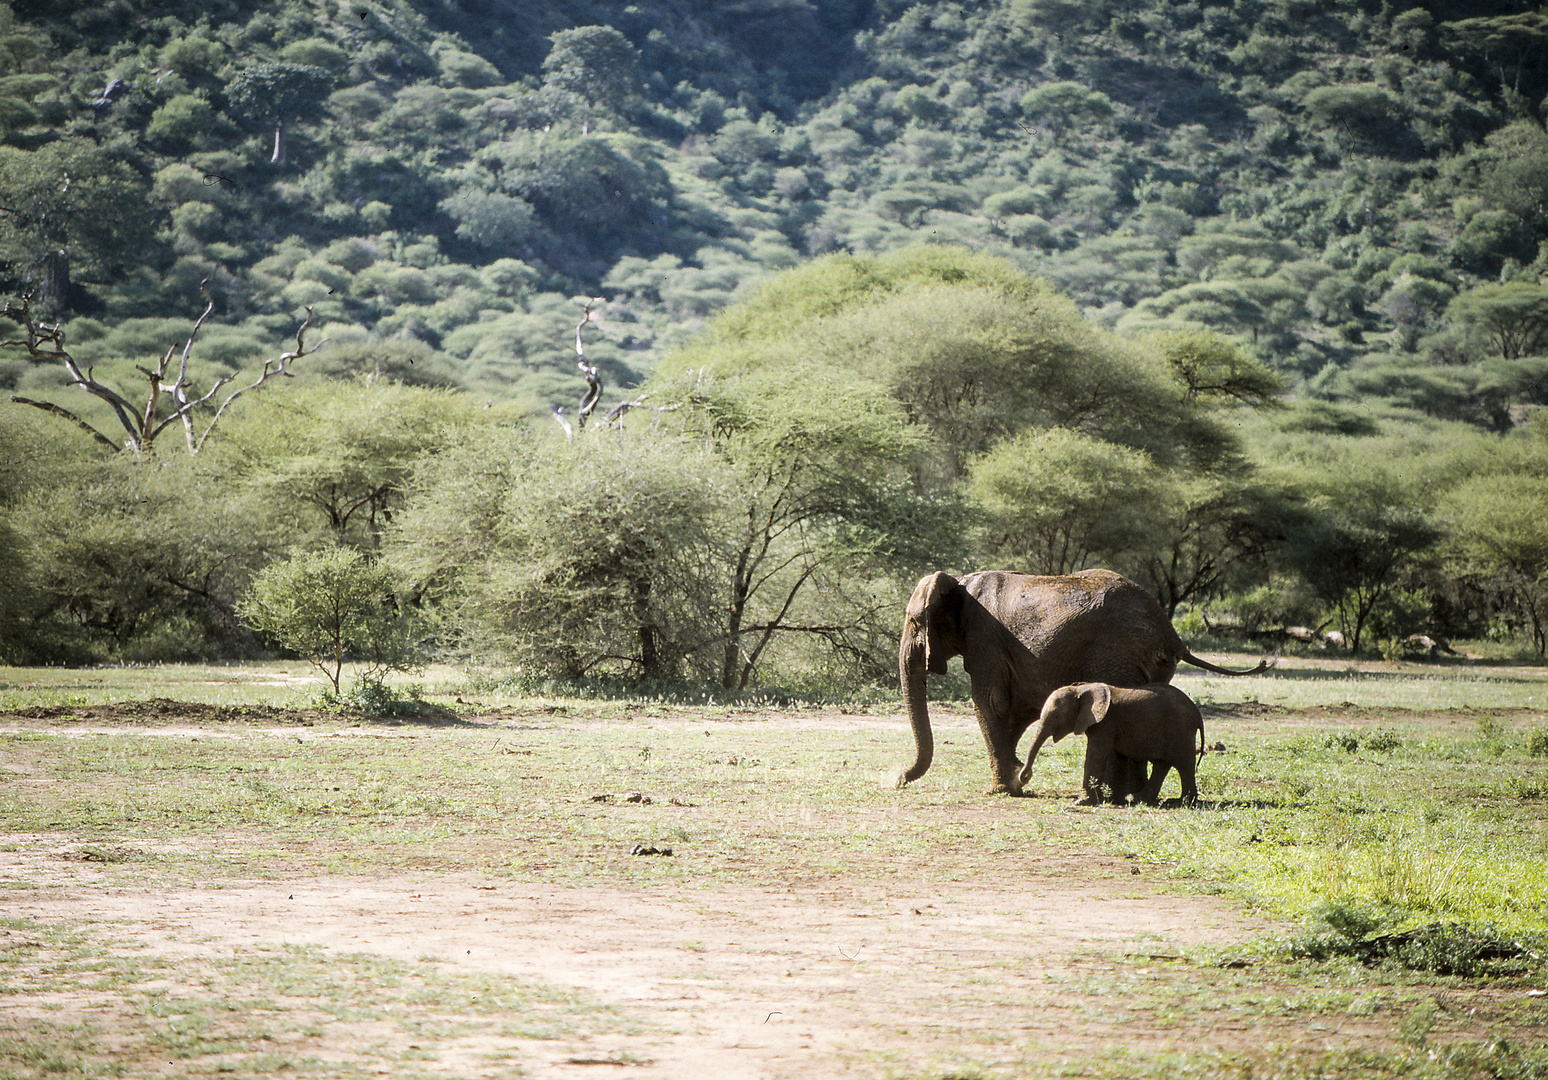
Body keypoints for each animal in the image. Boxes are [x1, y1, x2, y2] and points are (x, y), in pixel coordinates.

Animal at [1015, 680, 1207, 798]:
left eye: (1056, 716)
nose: (1024, 776)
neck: (1082, 688)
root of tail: (1197, 713)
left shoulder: (1106, 722)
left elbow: (1095, 754)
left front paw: (1082, 802)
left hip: (1181, 729)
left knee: (1184, 764)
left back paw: (1182, 801)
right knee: (1162, 765)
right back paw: (1137, 798)